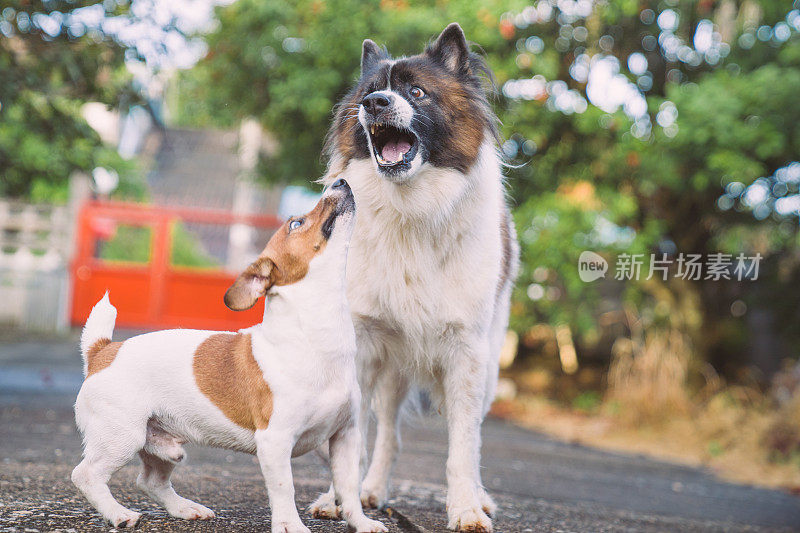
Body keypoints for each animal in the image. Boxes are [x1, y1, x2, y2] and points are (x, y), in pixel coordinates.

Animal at [71, 180, 388, 532]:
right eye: (296, 223)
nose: (340, 182)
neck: (315, 335)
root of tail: (102, 351)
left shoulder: (346, 437)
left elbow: (348, 486)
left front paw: (361, 523)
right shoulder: (275, 441)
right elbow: (285, 488)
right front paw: (290, 525)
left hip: (163, 445)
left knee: (151, 480)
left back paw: (186, 509)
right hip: (122, 437)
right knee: (86, 475)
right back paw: (118, 514)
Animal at [312, 21, 520, 532]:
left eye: (417, 92)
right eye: (371, 89)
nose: (374, 104)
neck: (412, 207)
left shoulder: (467, 353)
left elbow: (463, 445)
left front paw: (466, 508)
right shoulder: (364, 345)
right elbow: (354, 438)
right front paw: (340, 498)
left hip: (489, 369)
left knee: (473, 434)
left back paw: (479, 496)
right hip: (391, 371)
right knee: (388, 432)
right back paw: (372, 491)